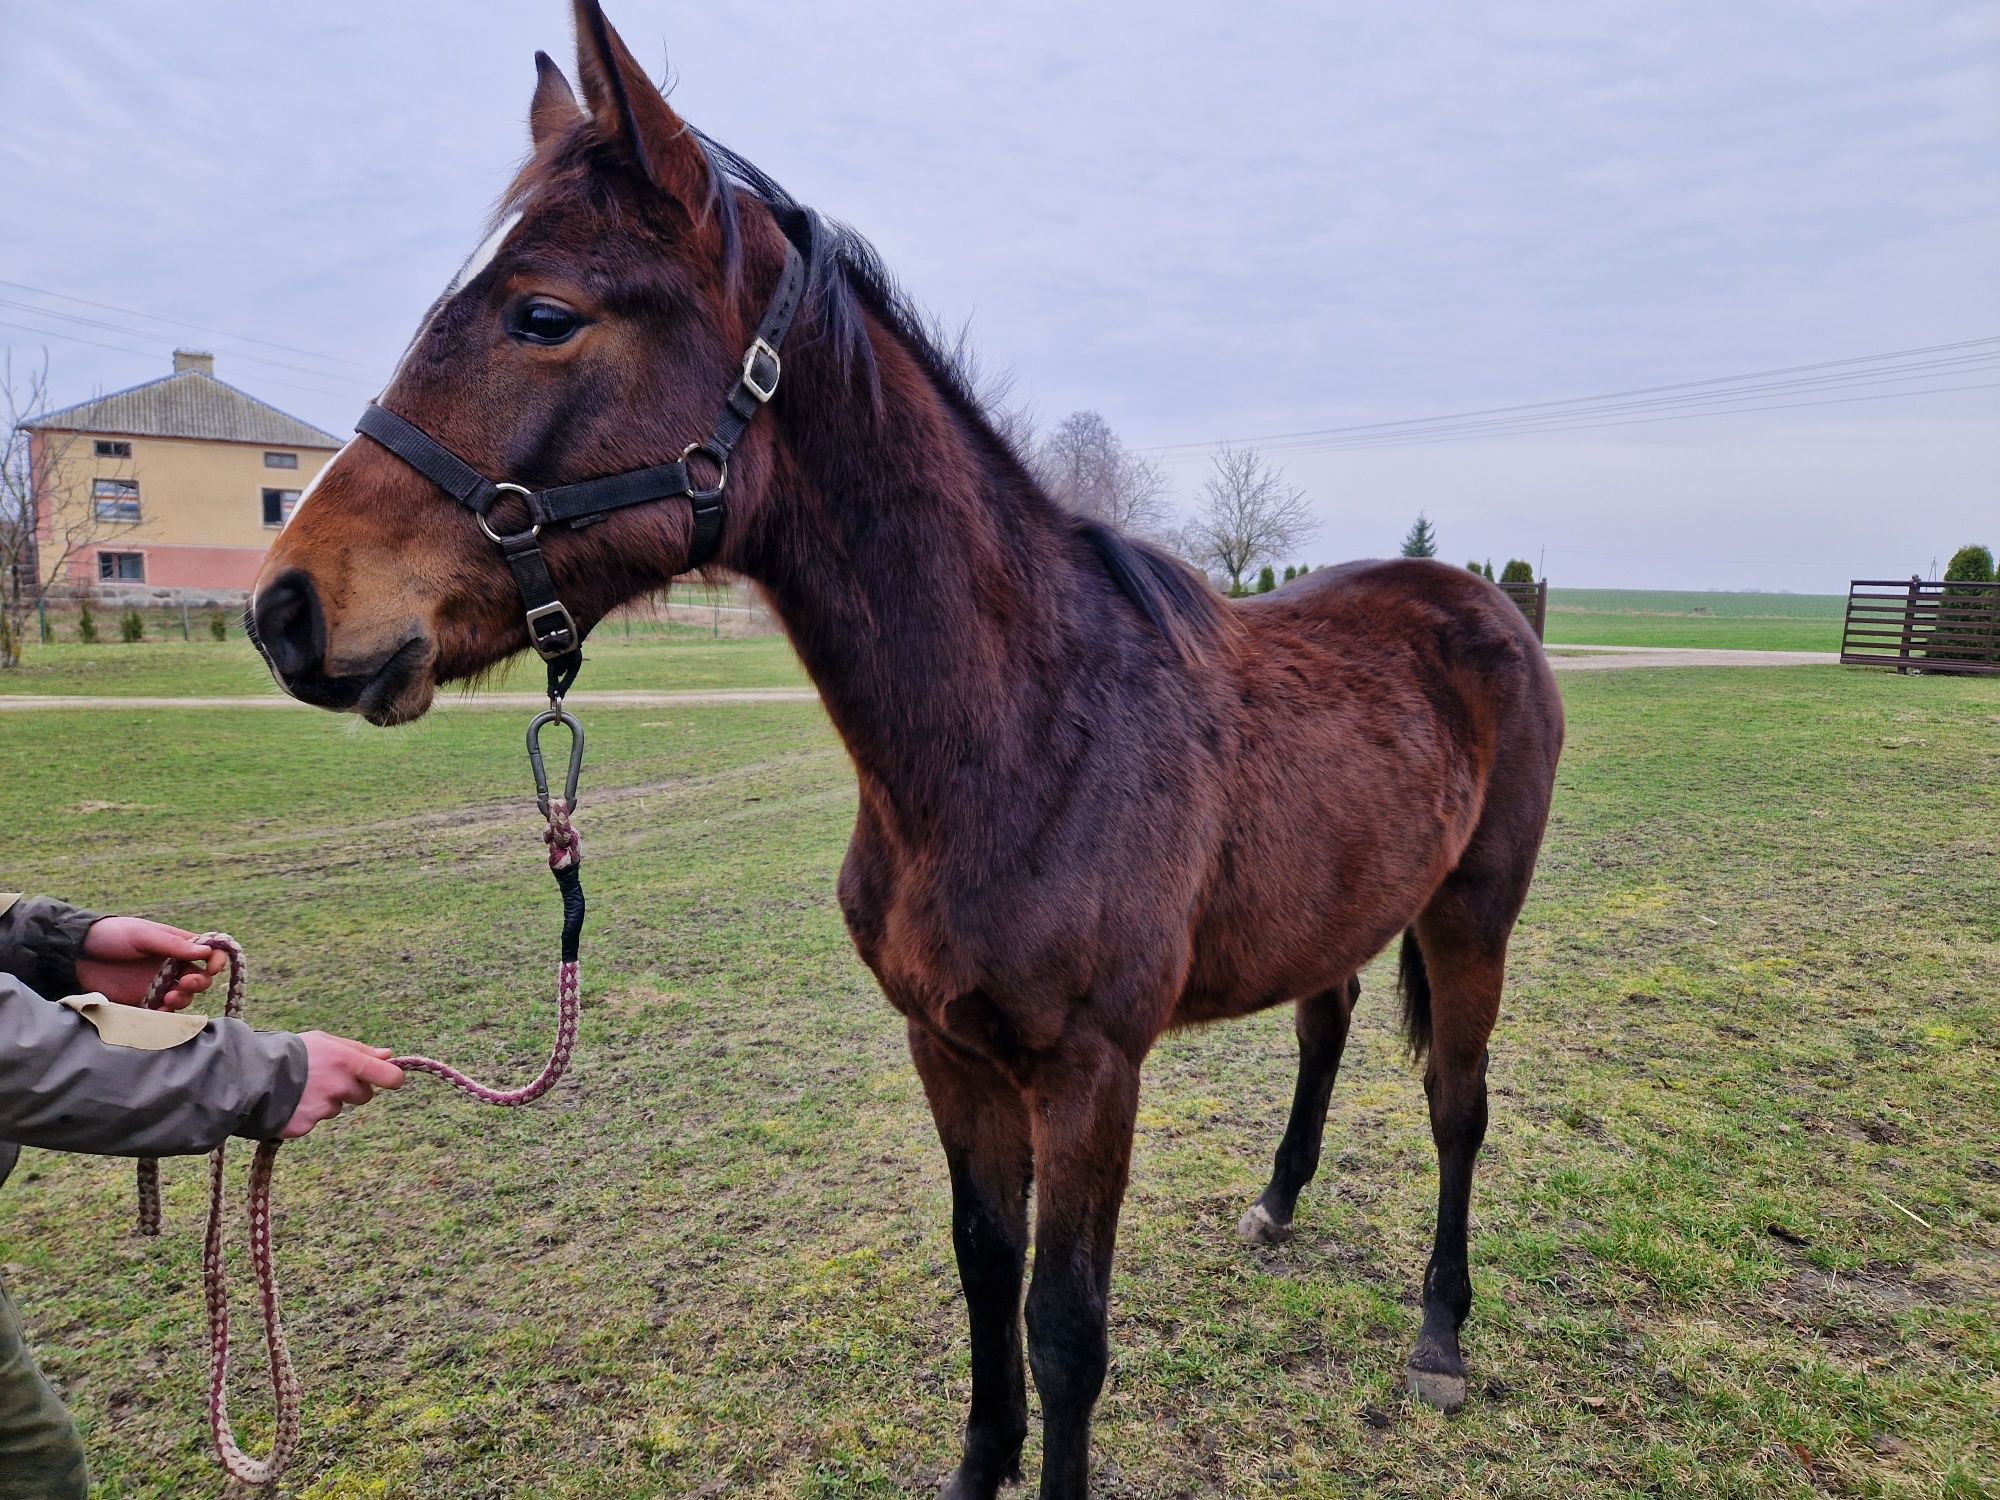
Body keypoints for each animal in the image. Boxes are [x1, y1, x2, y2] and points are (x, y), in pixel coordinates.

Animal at [254, 5, 1560, 1496]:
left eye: (542, 313)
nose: (287, 609)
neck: (1019, 736)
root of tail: (1485, 606)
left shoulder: (1089, 1074)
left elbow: (1066, 1331)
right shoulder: (951, 1054)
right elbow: (985, 1277)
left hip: (1473, 914)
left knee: (1456, 1105)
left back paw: (1440, 1338)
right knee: (1326, 1023)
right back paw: (1278, 1205)